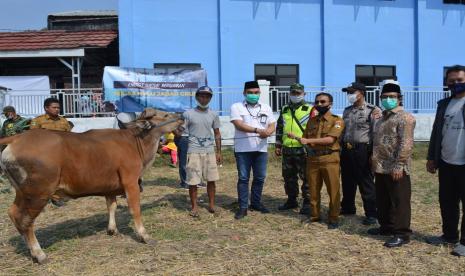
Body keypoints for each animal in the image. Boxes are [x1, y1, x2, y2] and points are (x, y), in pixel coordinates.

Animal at [0, 107, 183, 264]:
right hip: (38, 194)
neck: (134, 141)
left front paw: (112, 230)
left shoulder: (110, 187)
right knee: (24, 220)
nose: (181, 117)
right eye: (165, 115)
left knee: (13, 214)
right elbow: (135, 210)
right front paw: (144, 236)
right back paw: (39, 254)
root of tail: (18, 137)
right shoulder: (131, 183)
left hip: (22, 193)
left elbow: (112, 206)